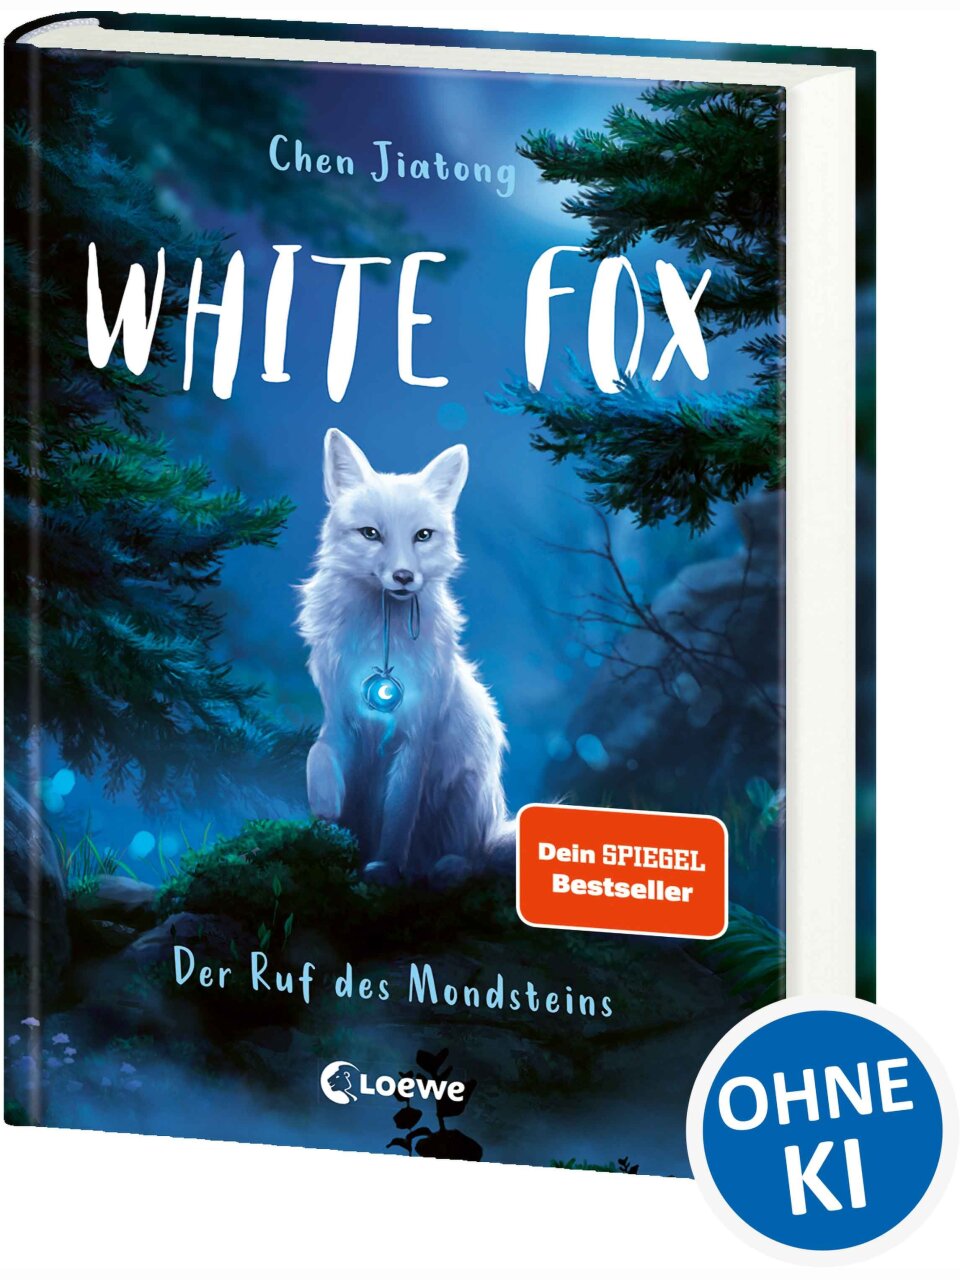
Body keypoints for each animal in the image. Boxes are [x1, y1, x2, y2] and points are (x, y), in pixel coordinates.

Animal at [297, 428, 514, 883]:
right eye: (370, 533)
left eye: (423, 536)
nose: (403, 577)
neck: (380, 641)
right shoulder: (340, 720)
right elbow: (317, 757)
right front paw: (327, 818)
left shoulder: (416, 736)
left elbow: (397, 816)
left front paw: (383, 868)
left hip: (468, 792)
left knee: (474, 856)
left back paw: (445, 869)